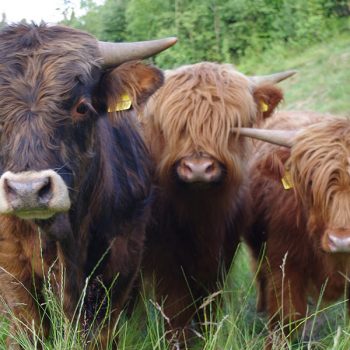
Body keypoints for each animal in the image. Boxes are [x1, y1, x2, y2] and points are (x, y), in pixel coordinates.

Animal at [0, 23, 176, 348]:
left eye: (82, 107)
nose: (28, 190)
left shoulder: (123, 255)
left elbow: (102, 331)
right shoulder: (11, 263)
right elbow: (28, 325)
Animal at [139, 61, 292, 340]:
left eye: (232, 124)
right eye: (173, 125)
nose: (198, 168)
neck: (202, 214)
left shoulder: (224, 249)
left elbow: (210, 302)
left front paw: (209, 334)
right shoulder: (165, 256)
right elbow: (176, 308)